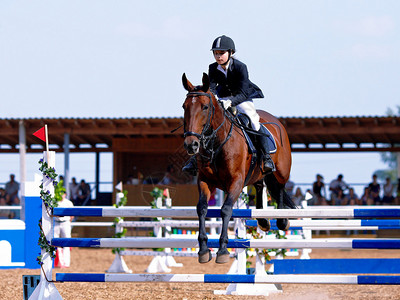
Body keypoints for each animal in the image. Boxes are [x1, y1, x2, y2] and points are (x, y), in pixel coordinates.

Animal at [183, 74, 296, 264]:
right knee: (260, 186)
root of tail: (277, 122)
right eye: (184, 107)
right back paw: (263, 221)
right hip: (257, 174)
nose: (191, 145)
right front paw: (204, 250)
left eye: (205, 107)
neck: (217, 143)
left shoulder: (235, 182)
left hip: (281, 171)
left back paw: (282, 220)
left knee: (280, 188)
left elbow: (226, 209)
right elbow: (202, 208)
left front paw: (222, 250)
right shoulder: (205, 181)